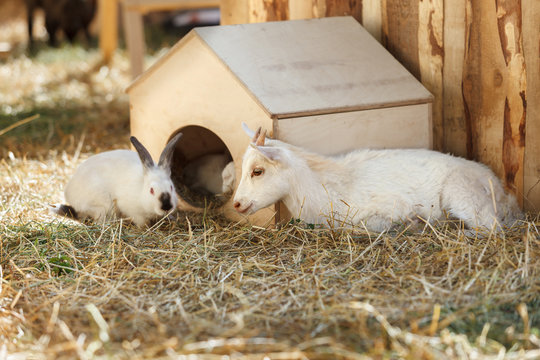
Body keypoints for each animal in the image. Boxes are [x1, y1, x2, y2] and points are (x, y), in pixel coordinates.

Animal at [52, 134, 184, 226]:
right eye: (151, 190)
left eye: (171, 187)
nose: (166, 206)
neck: (141, 190)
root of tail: (68, 193)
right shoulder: (132, 209)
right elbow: (141, 221)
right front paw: (146, 228)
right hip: (103, 206)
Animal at [234, 123, 520, 231]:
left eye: (257, 171)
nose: (237, 203)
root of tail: (501, 190)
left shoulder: (388, 208)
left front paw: (411, 224)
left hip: (462, 196)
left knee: (491, 228)